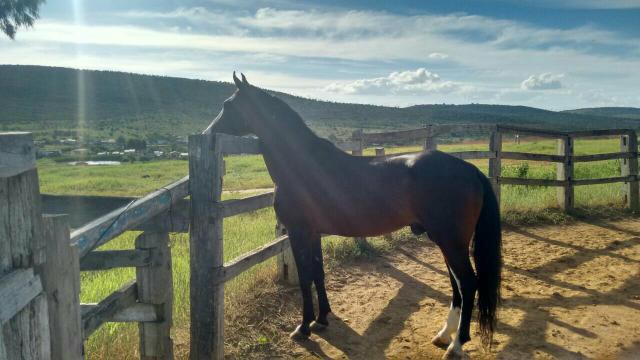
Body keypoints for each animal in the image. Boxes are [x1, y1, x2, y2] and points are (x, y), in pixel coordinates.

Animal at [205, 74, 500, 360]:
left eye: (228, 105)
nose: (206, 134)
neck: (302, 165)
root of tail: (469, 168)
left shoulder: (299, 232)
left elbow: (305, 278)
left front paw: (303, 328)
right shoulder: (313, 233)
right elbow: (318, 273)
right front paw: (322, 319)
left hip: (451, 241)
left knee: (468, 283)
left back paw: (457, 345)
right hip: (446, 241)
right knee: (457, 285)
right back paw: (444, 334)